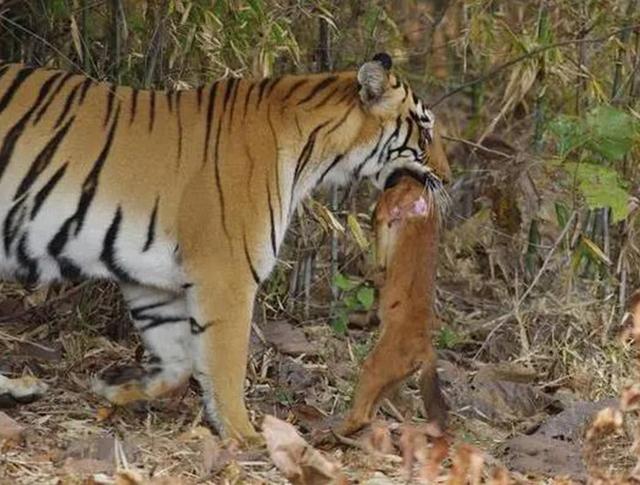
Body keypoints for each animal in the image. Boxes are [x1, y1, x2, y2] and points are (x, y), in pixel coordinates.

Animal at [0, 52, 450, 442]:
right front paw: (245, 435)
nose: (447, 178)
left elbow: (178, 363)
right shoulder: (227, 274)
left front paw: (116, 388)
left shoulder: (151, 278)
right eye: (425, 130)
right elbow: (227, 362)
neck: (317, 153)